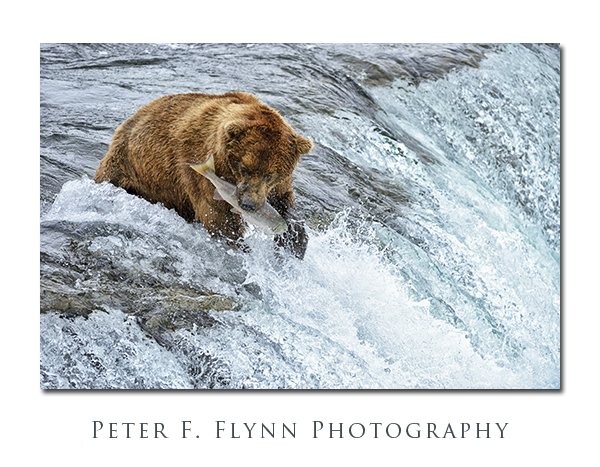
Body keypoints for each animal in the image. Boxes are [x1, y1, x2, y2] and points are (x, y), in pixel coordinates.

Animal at [94, 91, 312, 260]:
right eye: (244, 168)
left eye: (270, 174)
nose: (248, 204)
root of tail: (128, 120)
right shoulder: (200, 165)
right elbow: (217, 218)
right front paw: (241, 248)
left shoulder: (277, 186)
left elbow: (285, 203)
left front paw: (293, 244)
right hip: (127, 167)